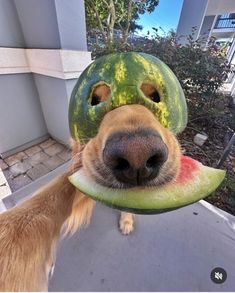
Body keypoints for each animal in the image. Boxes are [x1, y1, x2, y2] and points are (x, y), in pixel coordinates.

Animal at [0, 82, 182, 290]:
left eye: (155, 97)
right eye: (95, 101)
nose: (137, 155)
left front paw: (127, 220)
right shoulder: (81, 164)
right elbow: (53, 196)